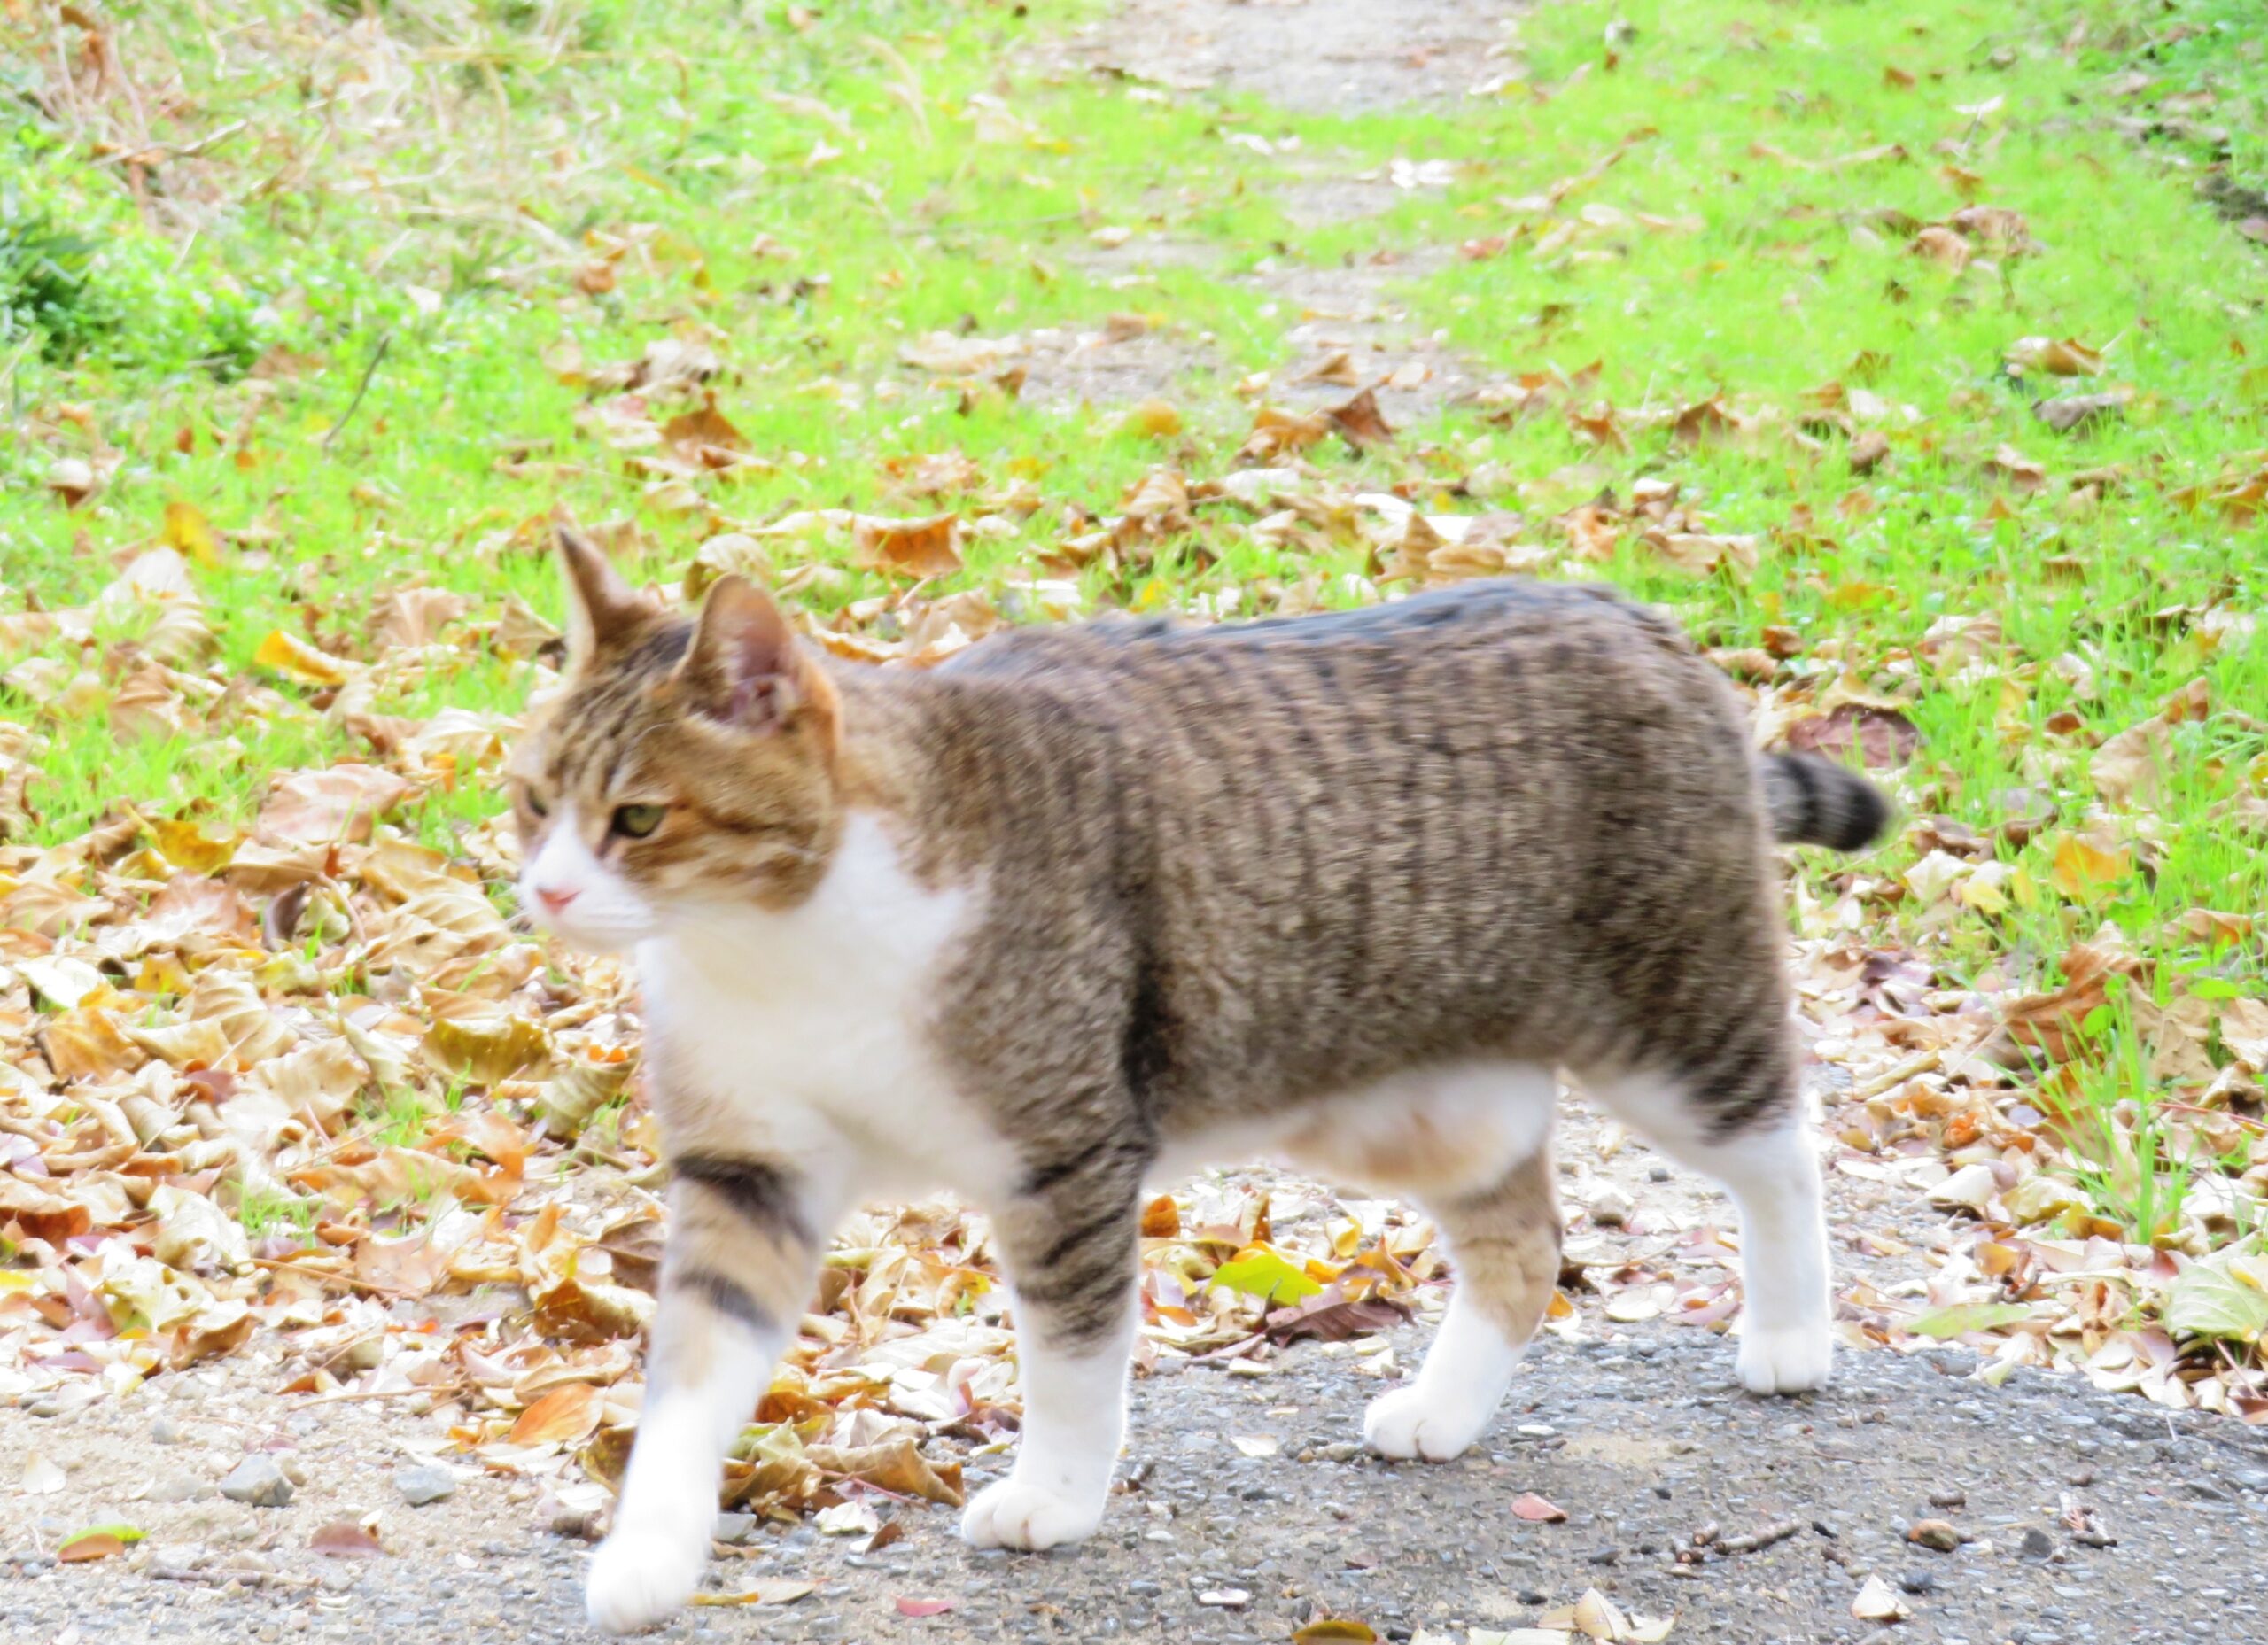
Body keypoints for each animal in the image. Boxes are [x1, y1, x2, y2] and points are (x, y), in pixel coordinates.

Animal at [510, 526, 1877, 1633]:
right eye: (531, 801)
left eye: (638, 820)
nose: (545, 892)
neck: (779, 947)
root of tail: (1636, 616)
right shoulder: (750, 1172)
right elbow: (690, 1376)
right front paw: (649, 1555)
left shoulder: (1063, 1156)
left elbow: (1069, 1354)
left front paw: (1055, 1495)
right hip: (1428, 1104)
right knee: (1524, 1240)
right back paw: (1443, 1410)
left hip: (1672, 1019)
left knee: (1782, 1148)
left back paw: (1791, 1333)